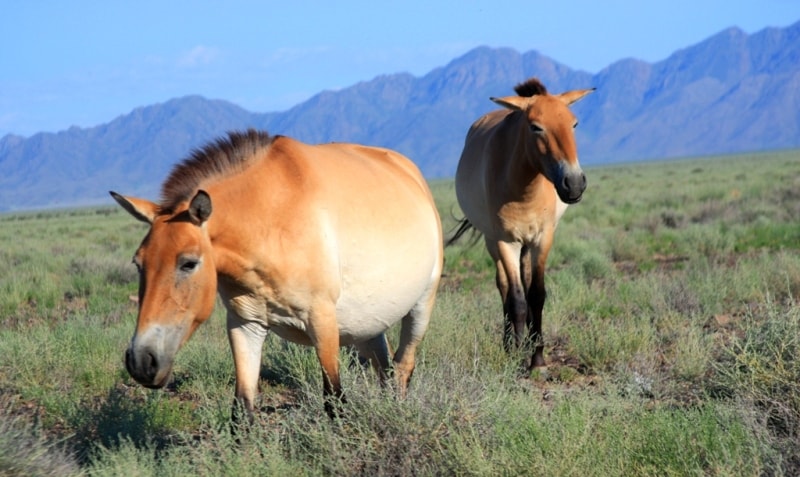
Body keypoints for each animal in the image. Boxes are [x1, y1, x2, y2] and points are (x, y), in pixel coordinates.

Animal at [111, 128, 444, 418]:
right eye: (138, 263)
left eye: (188, 263)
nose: (141, 361)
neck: (270, 222)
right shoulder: (246, 325)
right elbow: (242, 410)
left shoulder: (322, 321)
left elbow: (334, 402)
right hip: (367, 324)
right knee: (385, 369)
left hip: (420, 307)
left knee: (402, 368)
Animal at [450, 77, 592, 368]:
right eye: (536, 127)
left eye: (574, 124)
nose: (573, 183)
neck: (525, 188)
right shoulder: (506, 242)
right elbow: (515, 298)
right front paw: (516, 353)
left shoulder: (542, 239)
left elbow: (536, 295)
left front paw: (537, 357)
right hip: (494, 242)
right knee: (504, 286)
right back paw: (510, 343)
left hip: (526, 246)